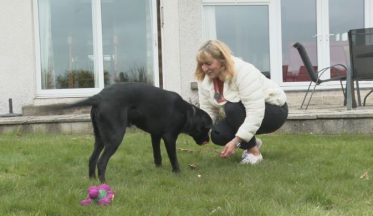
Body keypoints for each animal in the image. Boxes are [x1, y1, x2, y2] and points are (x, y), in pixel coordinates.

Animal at [65, 82, 211, 182]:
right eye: (208, 128)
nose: (208, 141)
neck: (187, 113)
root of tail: (99, 97)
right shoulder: (169, 137)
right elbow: (174, 158)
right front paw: (177, 173)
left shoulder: (155, 136)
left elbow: (157, 156)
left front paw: (159, 171)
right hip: (115, 137)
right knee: (101, 162)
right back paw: (104, 183)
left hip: (100, 138)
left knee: (92, 159)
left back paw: (92, 181)